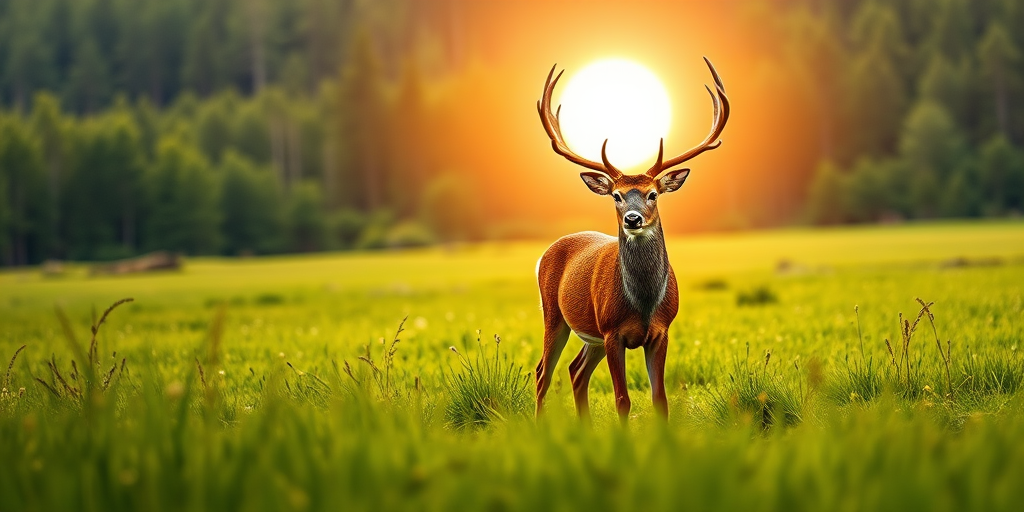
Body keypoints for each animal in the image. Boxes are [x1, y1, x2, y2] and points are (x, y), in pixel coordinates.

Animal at [534, 57, 730, 422]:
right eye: (616, 195)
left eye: (653, 194)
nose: (633, 218)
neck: (643, 304)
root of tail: (544, 254)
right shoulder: (612, 332)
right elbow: (622, 399)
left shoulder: (661, 332)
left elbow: (660, 398)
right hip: (555, 314)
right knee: (543, 371)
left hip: (591, 335)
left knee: (575, 371)